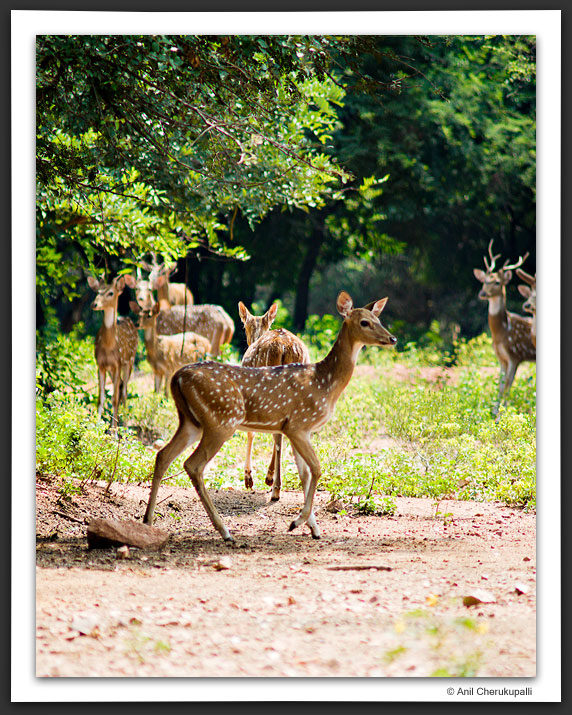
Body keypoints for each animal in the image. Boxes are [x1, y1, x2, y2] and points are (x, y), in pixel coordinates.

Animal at [88, 276, 140, 426]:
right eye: (97, 291)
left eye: (110, 293)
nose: (94, 304)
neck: (109, 345)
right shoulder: (100, 364)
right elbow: (101, 398)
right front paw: (96, 425)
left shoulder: (118, 363)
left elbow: (115, 399)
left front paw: (113, 429)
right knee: (122, 385)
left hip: (130, 361)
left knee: (124, 390)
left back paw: (125, 423)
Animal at [237, 300, 310, 500]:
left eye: (244, 326)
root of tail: (284, 348)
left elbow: (251, 432)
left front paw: (248, 479)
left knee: (278, 434)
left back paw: (275, 488)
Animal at [472, 242, 536, 414]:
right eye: (484, 280)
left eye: (497, 282)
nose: (482, 293)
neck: (501, 332)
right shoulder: (501, 358)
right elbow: (500, 384)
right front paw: (494, 411)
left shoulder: (515, 355)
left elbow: (508, 383)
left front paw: (503, 412)